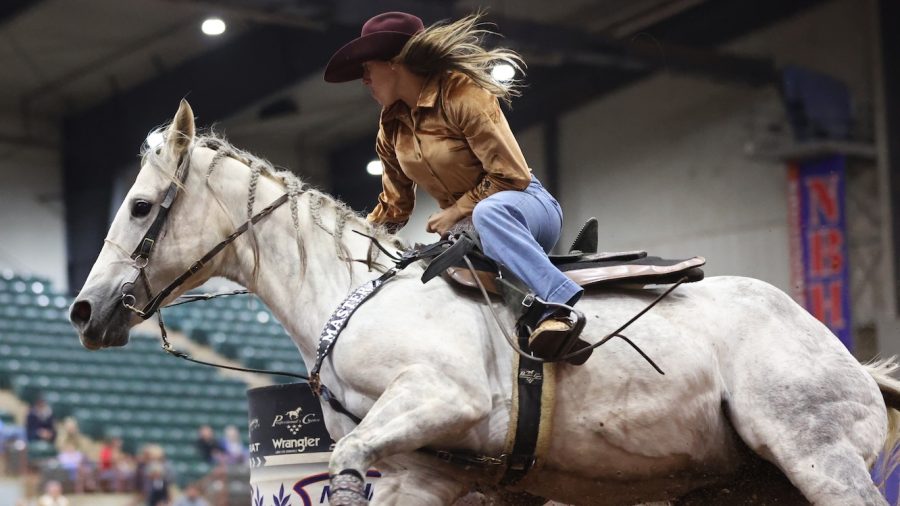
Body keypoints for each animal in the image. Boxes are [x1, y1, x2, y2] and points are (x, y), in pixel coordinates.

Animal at [70, 100, 900, 505]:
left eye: (139, 206)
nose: (82, 310)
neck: (351, 293)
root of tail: (852, 362)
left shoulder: (442, 397)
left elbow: (345, 463)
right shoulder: (425, 473)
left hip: (820, 461)